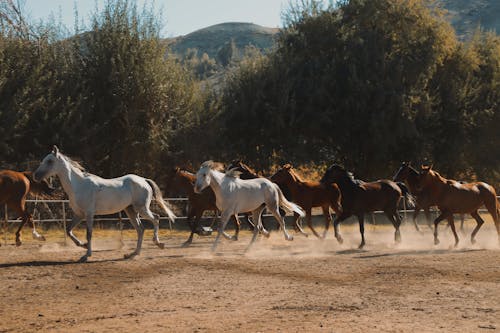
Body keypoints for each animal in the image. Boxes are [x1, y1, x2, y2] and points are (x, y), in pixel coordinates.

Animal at [33, 145, 176, 262]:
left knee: (155, 219)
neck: (78, 185)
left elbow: (89, 233)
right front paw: (83, 245)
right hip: (131, 211)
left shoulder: (89, 214)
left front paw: (86, 255)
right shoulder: (79, 214)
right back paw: (132, 254)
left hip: (141, 208)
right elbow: (68, 230)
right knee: (140, 229)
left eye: (50, 161)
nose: (36, 175)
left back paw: (158, 244)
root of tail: (144, 180)